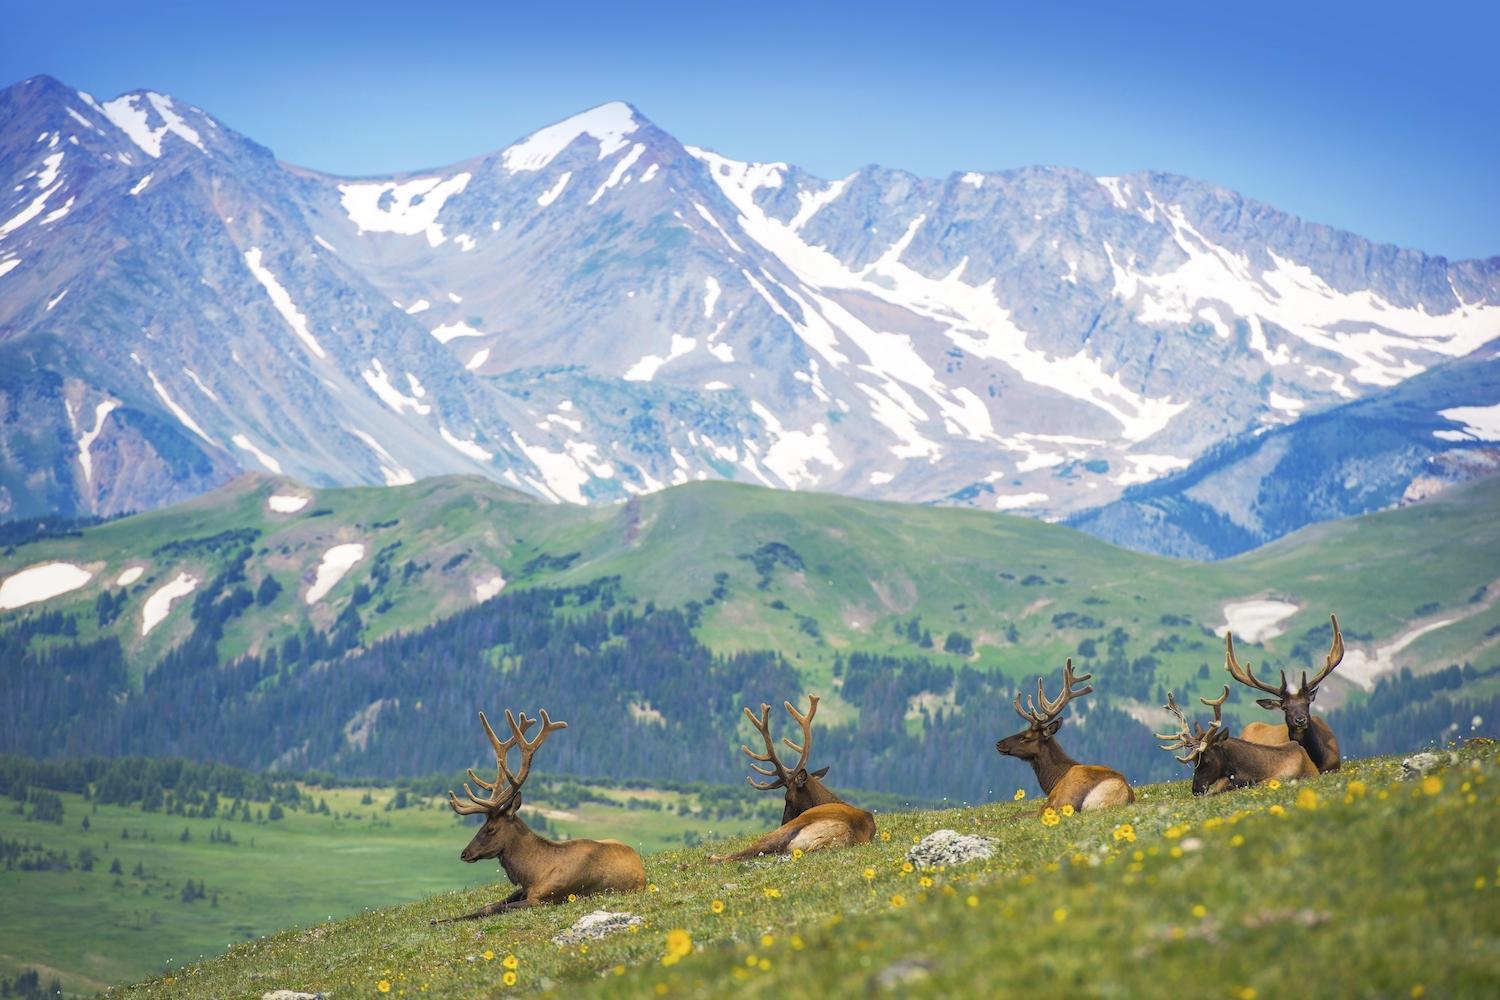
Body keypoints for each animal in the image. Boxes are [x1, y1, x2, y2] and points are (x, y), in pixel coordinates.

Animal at [435, 707, 645, 929]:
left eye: (490, 828)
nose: (464, 854)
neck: (533, 872)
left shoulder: (543, 898)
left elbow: (493, 908)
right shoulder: (524, 890)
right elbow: (488, 905)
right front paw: (438, 920)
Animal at [996, 656, 1134, 815]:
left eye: (1026, 737)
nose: (999, 744)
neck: (1053, 781)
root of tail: (1123, 792)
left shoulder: (1049, 802)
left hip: (1065, 798)